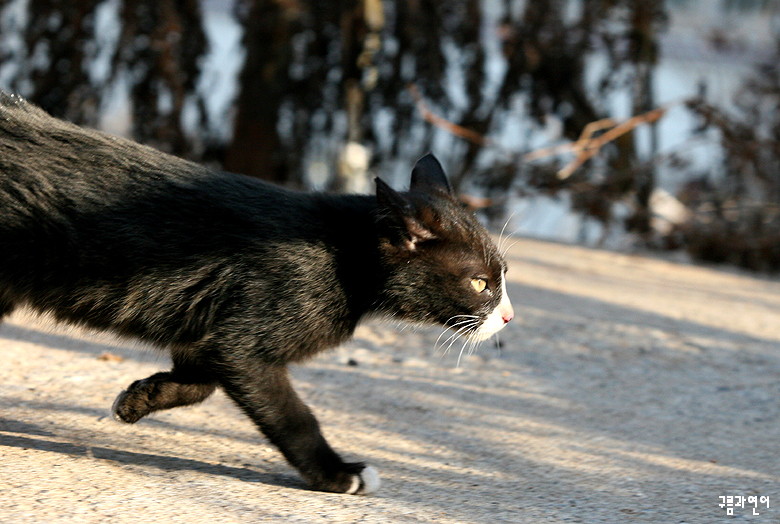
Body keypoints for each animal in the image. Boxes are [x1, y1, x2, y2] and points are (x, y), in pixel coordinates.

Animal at [0, 93, 512, 496]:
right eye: (480, 283)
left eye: (503, 276)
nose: (508, 317)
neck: (341, 253)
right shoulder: (246, 341)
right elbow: (293, 416)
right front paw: (337, 475)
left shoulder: (210, 331)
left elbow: (202, 379)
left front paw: (141, 397)